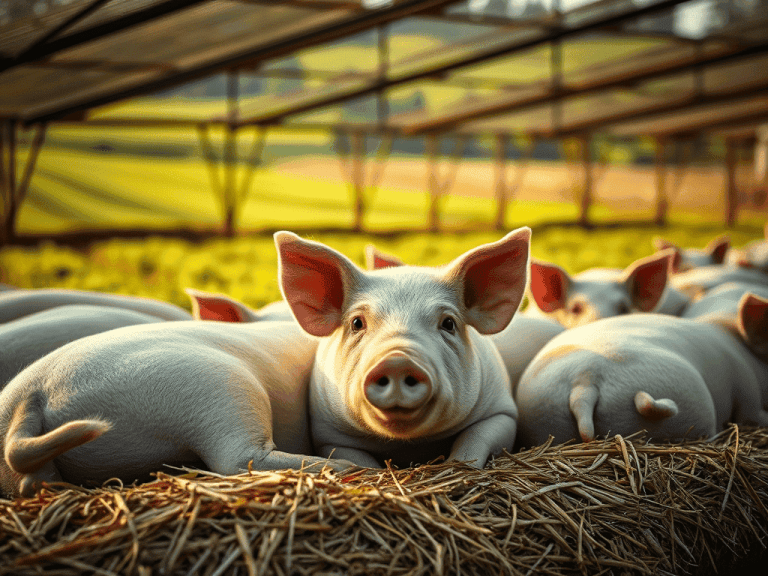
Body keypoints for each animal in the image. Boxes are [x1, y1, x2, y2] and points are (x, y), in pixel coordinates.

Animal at [275, 229, 531, 469]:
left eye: (448, 323)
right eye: (357, 323)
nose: (397, 360)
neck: (407, 445)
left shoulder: (502, 410)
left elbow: (474, 441)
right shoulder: (329, 433)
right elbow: (357, 460)